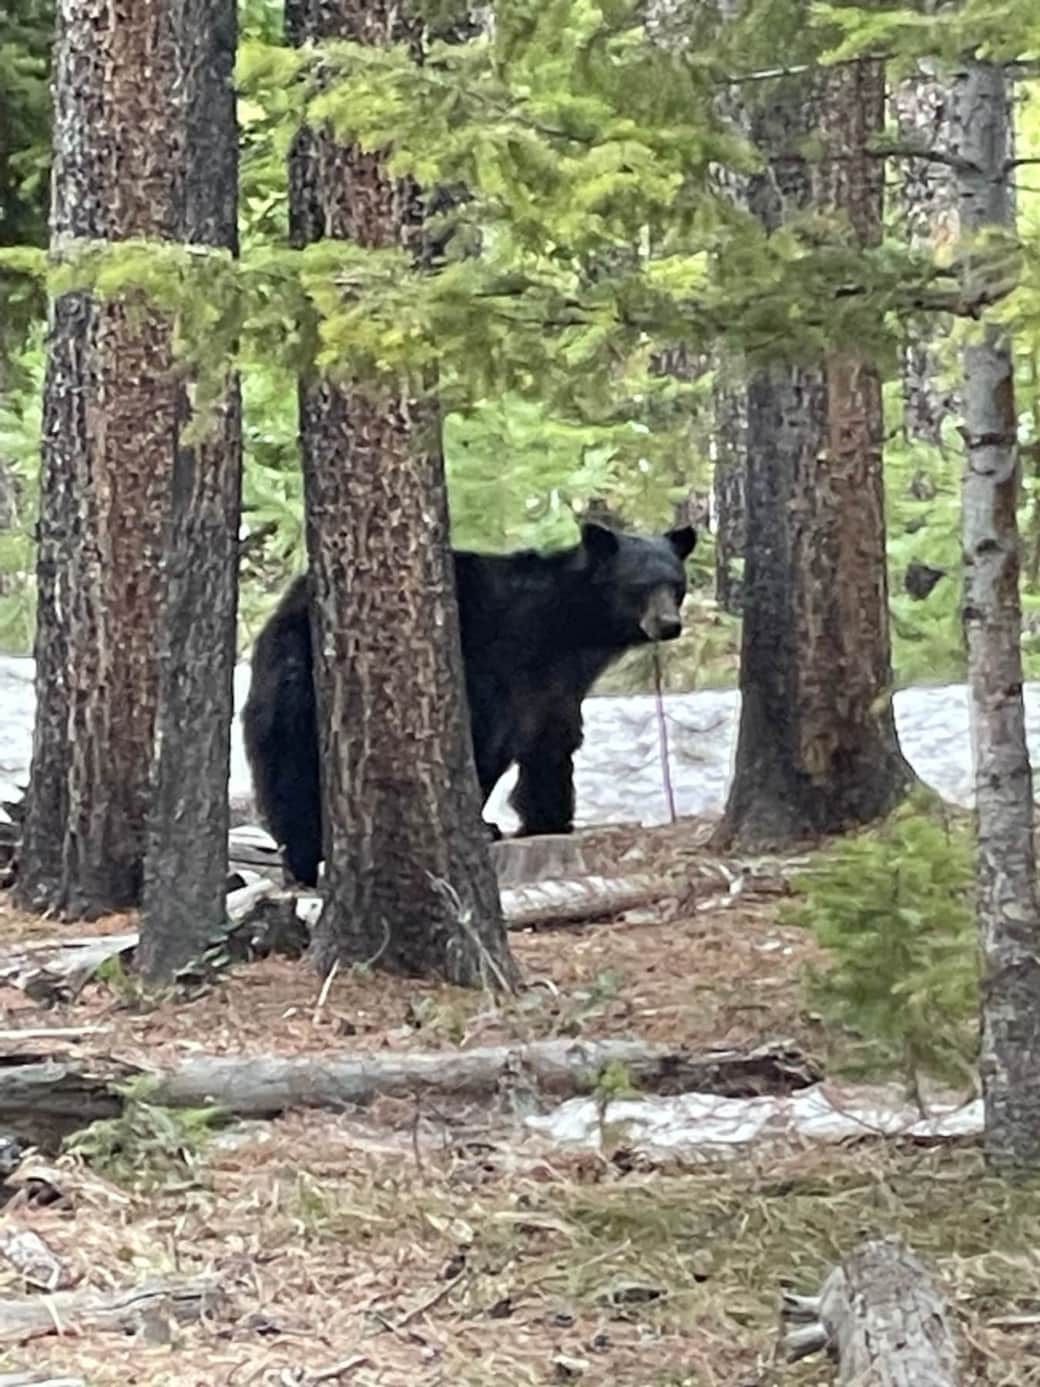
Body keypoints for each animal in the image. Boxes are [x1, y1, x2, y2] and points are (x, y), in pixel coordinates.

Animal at [241, 521, 697, 887]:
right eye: (641, 585)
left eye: (676, 584)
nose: (669, 625)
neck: (564, 624)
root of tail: (283, 612)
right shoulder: (498, 662)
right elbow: (488, 740)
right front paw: (484, 824)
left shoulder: (557, 682)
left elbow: (552, 741)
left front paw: (548, 818)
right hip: (302, 687)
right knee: (292, 772)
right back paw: (306, 856)